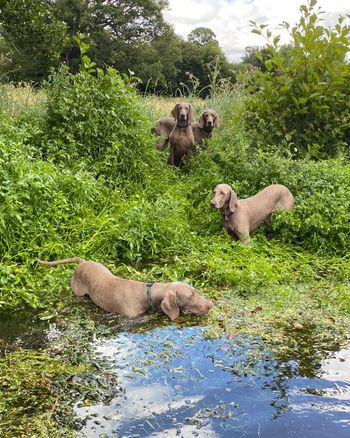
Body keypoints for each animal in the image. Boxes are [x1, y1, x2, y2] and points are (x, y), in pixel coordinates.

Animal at [38, 256, 213, 322]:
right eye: (190, 295)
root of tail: (82, 262)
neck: (147, 294)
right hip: (77, 291)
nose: (211, 305)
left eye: (196, 291)